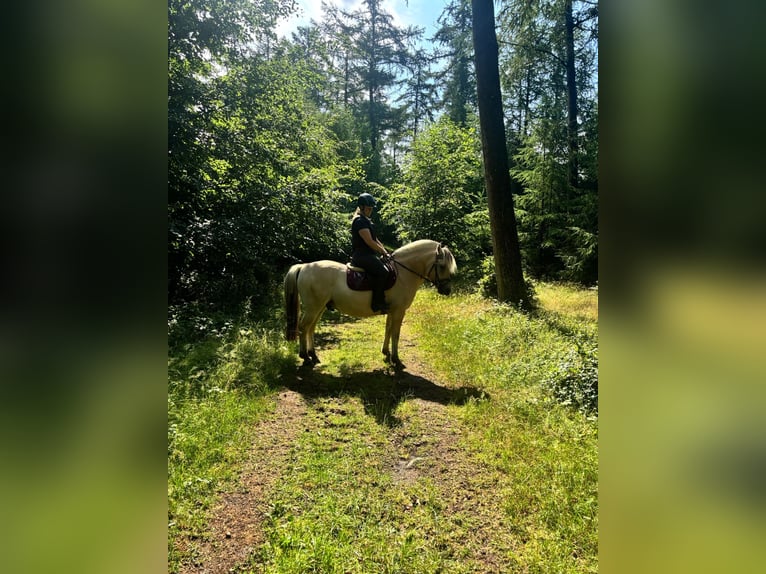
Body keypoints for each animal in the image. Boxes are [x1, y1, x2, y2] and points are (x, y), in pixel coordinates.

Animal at [284, 239, 457, 368]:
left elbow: (388, 330)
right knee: (303, 327)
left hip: (319, 308)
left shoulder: (392, 311)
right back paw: (305, 357)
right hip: (313, 308)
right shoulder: (399, 311)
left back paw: (313, 355)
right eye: (442, 266)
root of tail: (304, 267)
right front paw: (396, 359)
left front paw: (386, 353)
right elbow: (396, 333)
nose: (447, 290)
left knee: (310, 328)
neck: (402, 274)